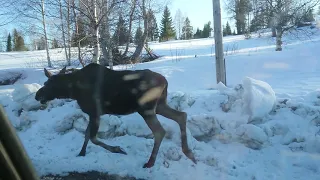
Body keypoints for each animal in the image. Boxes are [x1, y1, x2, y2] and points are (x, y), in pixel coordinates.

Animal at [33, 62, 196, 168]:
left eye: (48, 84)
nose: (37, 95)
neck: (73, 91)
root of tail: (165, 81)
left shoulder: (96, 112)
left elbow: (93, 137)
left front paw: (118, 149)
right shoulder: (92, 113)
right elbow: (86, 135)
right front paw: (81, 153)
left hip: (146, 108)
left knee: (159, 131)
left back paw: (150, 162)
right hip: (159, 105)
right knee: (181, 115)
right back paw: (189, 153)